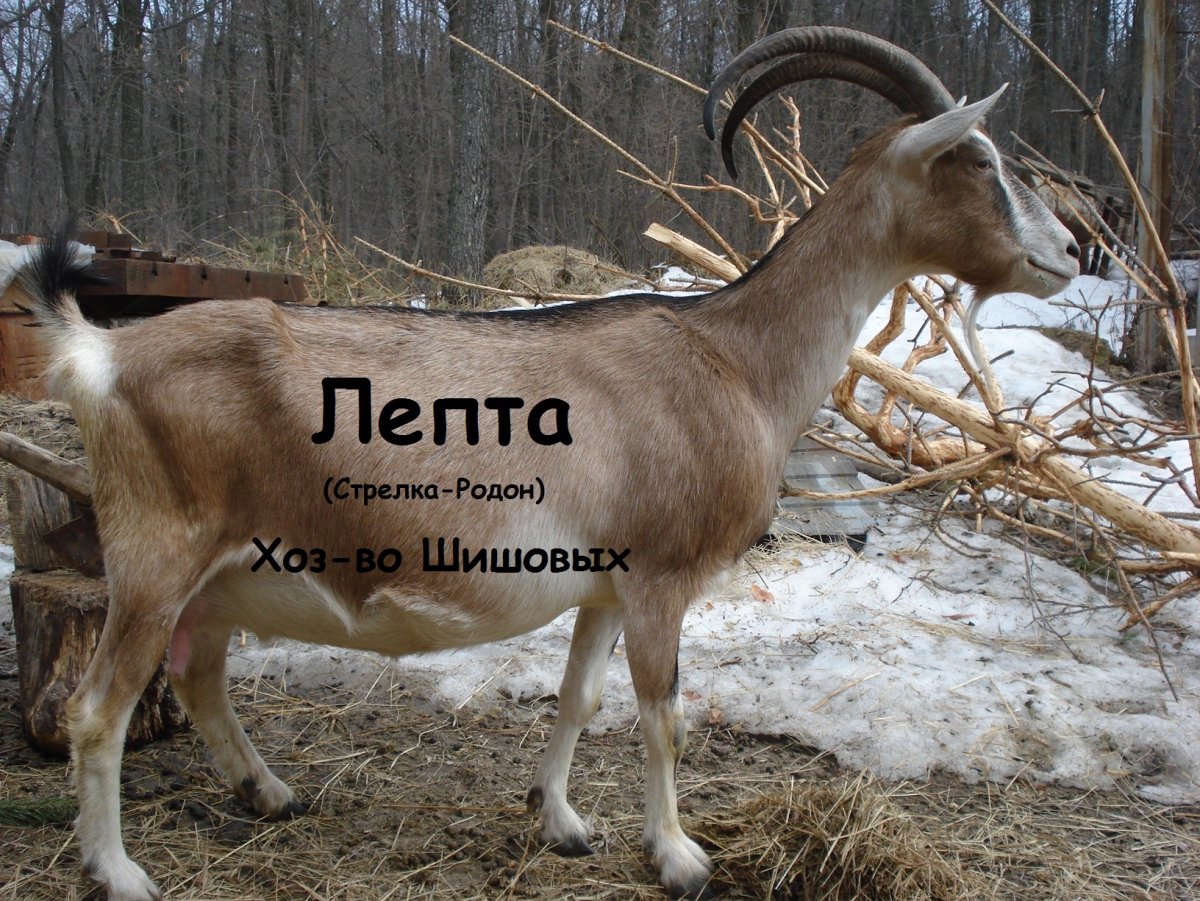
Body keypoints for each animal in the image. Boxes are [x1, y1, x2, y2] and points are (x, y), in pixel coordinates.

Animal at [23, 27, 1078, 901]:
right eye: (980, 157)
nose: (1072, 251)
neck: (732, 357)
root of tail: (101, 353)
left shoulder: (607, 583)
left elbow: (583, 696)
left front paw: (563, 821)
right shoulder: (661, 574)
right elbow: (663, 714)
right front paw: (680, 857)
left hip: (222, 573)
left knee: (198, 672)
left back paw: (270, 791)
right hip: (156, 553)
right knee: (96, 710)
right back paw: (121, 873)